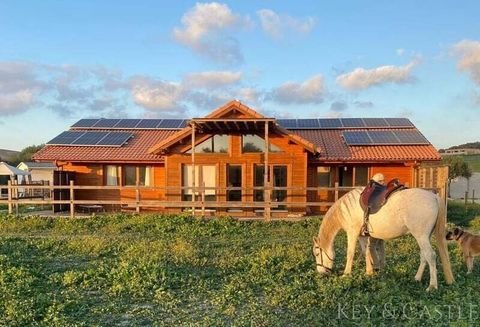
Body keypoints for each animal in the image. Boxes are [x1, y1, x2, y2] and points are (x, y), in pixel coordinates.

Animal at [314, 187, 456, 292]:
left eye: (316, 253)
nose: (320, 273)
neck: (347, 209)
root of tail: (434, 197)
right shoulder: (362, 235)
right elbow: (366, 251)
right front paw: (369, 272)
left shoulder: (352, 233)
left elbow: (350, 254)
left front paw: (346, 274)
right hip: (424, 237)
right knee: (424, 256)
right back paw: (417, 278)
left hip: (421, 236)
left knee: (431, 256)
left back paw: (432, 286)